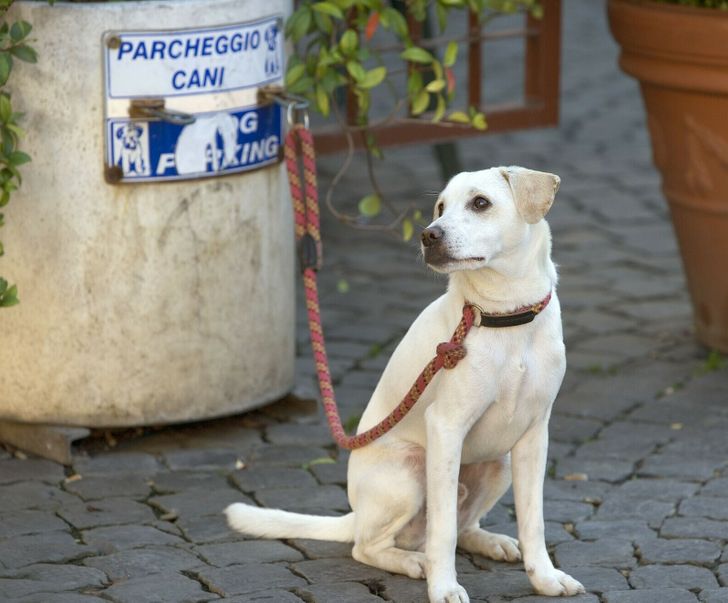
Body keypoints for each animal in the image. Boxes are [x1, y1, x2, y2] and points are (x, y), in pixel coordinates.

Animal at [228, 168, 584, 603]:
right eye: (440, 207)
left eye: (480, 203)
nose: (429, 235)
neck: (505, 315)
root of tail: (355, 514)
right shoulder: (446, 427)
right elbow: (442, 531)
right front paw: (444, 587)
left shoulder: (534, 434)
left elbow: (533, 521)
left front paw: (545, 578)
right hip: (409, 475)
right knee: (370, 546)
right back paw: (414, 562)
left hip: (498, 463)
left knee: (463, 527)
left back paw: (490, 543)